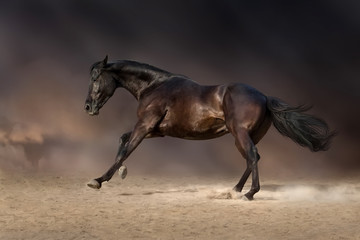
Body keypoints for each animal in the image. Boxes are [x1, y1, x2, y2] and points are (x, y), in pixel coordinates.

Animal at [83, 55, 334, 200]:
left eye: (95, 78)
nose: (87, 107)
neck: (154, 86)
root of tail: (263, 97)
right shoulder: (157, 130)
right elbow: (122, 140)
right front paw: (121, 172)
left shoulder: (145, 126)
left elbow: (126, 148)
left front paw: (98, 180)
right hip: (245, 136)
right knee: (252, 158)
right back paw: (234, 191)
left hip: (240, 134)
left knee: (252, 156)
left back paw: (249, 194)